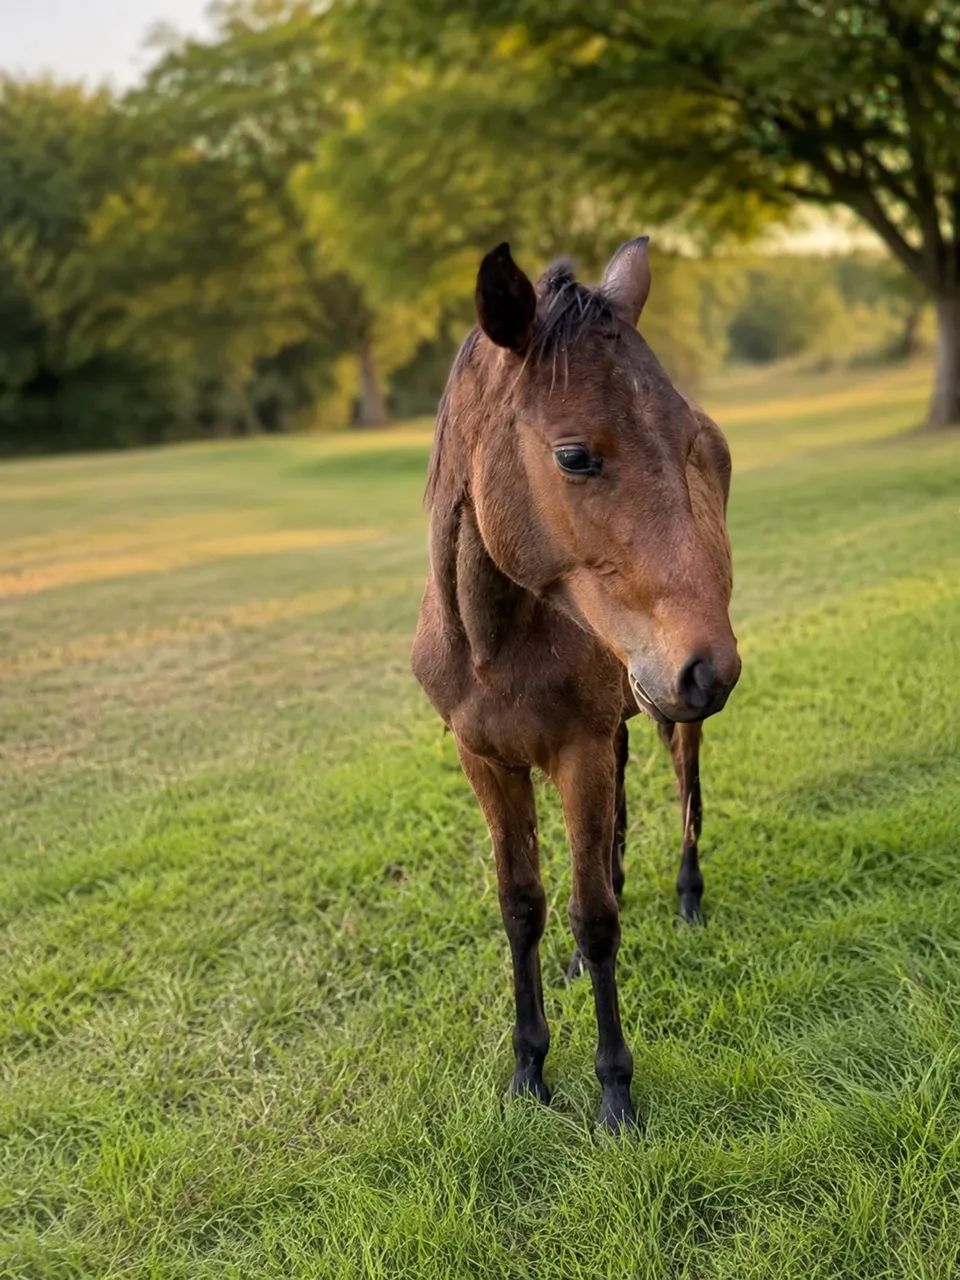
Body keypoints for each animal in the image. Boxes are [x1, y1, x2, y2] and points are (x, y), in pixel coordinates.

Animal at [411, 237, 741, 1131]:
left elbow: (595, 920)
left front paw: (615, 1095)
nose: (710, 667)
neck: (493, 646)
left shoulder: (580, 750)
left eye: (691, 440)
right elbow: (521, 904)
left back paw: (689, 900)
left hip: (666, 714)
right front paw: (529, 1070)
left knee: (686, 785)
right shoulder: (487, 762)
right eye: (573, 455)